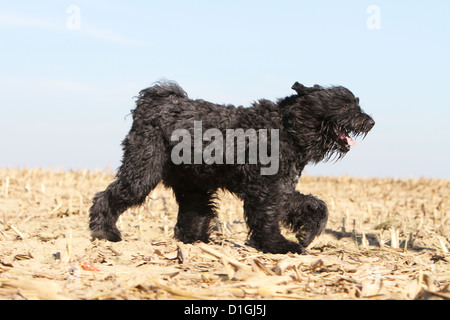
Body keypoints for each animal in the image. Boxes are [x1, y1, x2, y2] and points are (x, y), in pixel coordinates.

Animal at [88, 80, 372, 255]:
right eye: (345, 104)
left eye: (356, 102)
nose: (371, 122)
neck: (287, 127)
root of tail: (153, 102)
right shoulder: (265, 190)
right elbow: (267, 219)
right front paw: (279, 245)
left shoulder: (280, 188)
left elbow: (317, 205)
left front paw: (307, 233)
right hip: (142, 171)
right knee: (108, 196)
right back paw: (104, 231)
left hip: (192, 185)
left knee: (193, 214)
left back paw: (195, 241)